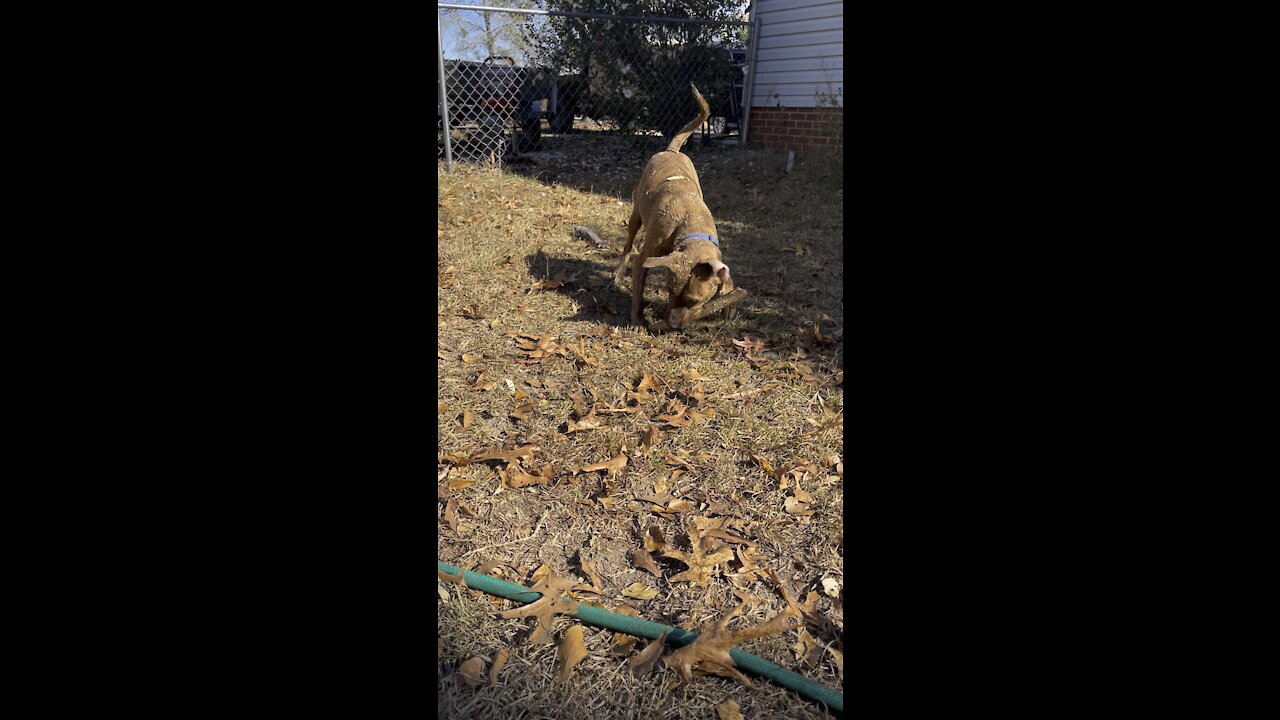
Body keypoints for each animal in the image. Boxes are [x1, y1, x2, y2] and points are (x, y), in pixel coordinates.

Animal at [616, 83, 732, 327]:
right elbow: (637, 292)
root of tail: (672, 151)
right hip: (635, 216)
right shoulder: (643, 260)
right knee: (628, 246)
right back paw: (618, 275)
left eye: (694, 301)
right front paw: (637, 320)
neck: (688, 227)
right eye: (669, 290)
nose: (672, 325)